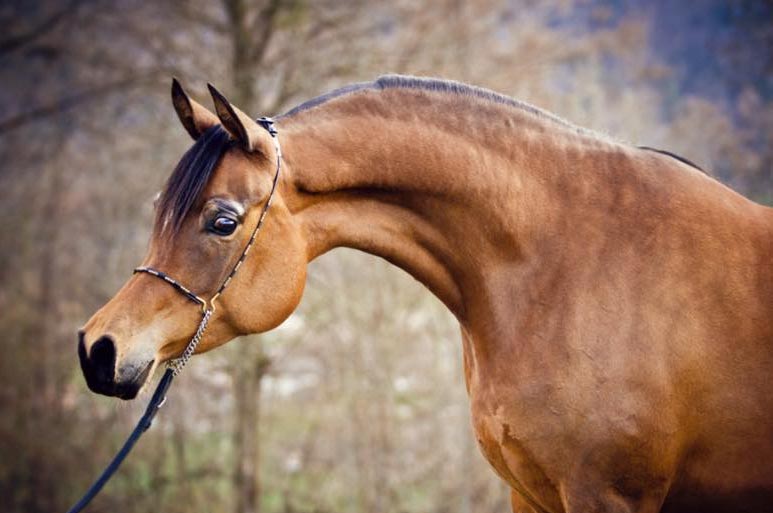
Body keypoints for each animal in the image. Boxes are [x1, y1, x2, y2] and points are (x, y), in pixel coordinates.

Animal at [78, 74, 772, 510]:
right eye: (159, 210)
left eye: (221, 222)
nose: (97, 349)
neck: (573, 263)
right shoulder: (530, 493)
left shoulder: (607, 495)